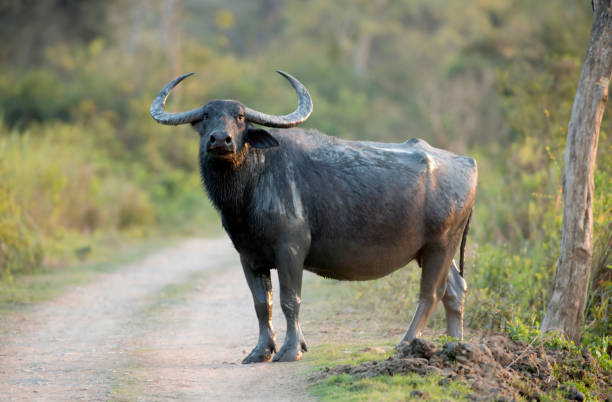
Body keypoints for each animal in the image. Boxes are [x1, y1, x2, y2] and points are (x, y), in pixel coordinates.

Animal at [151, 70, 476, 362]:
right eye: (206, 116)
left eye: (240, 116)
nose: (221, 139)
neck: (253, 183)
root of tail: (466, 162)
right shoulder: (248, 256)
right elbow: (261, 304)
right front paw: (261, 351)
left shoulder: (290, 249)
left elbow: (289, 300)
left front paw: (291, 350)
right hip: (430, 250)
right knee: (455, 290)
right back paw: (453, 346)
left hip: (441, 245)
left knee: (431, 293)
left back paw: (406, 344)